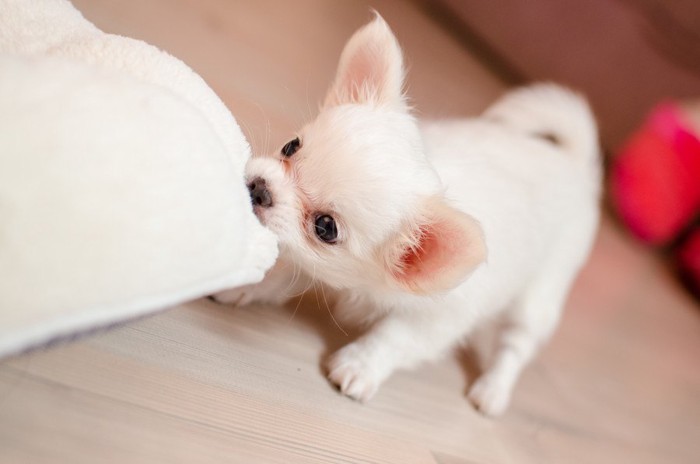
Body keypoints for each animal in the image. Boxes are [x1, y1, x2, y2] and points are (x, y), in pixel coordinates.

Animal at [215, 14, 600, 416]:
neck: (365, 287)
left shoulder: (435, 321)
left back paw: (493, 390)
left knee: (515, 345)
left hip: (539, 296)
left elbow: (392, 338)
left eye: (326, 227)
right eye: (291, 146)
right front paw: (247, 284)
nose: (259, 188)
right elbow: (286, 270)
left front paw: (358, 366)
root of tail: (573, 162)